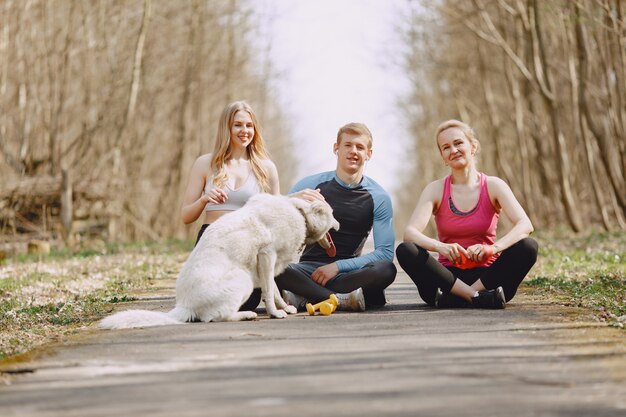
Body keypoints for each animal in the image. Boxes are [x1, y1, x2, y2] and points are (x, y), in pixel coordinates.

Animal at [100, 194, 338, 328]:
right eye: (333, 214)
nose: (339, 225)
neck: (299, 214)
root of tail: (184, 306)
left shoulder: (266, 265)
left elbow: (274, 290)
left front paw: (284, 308)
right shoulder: (267, 255)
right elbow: (270, 292)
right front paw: (275, 313)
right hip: (243, 280)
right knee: (215, 317)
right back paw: (246, 315)